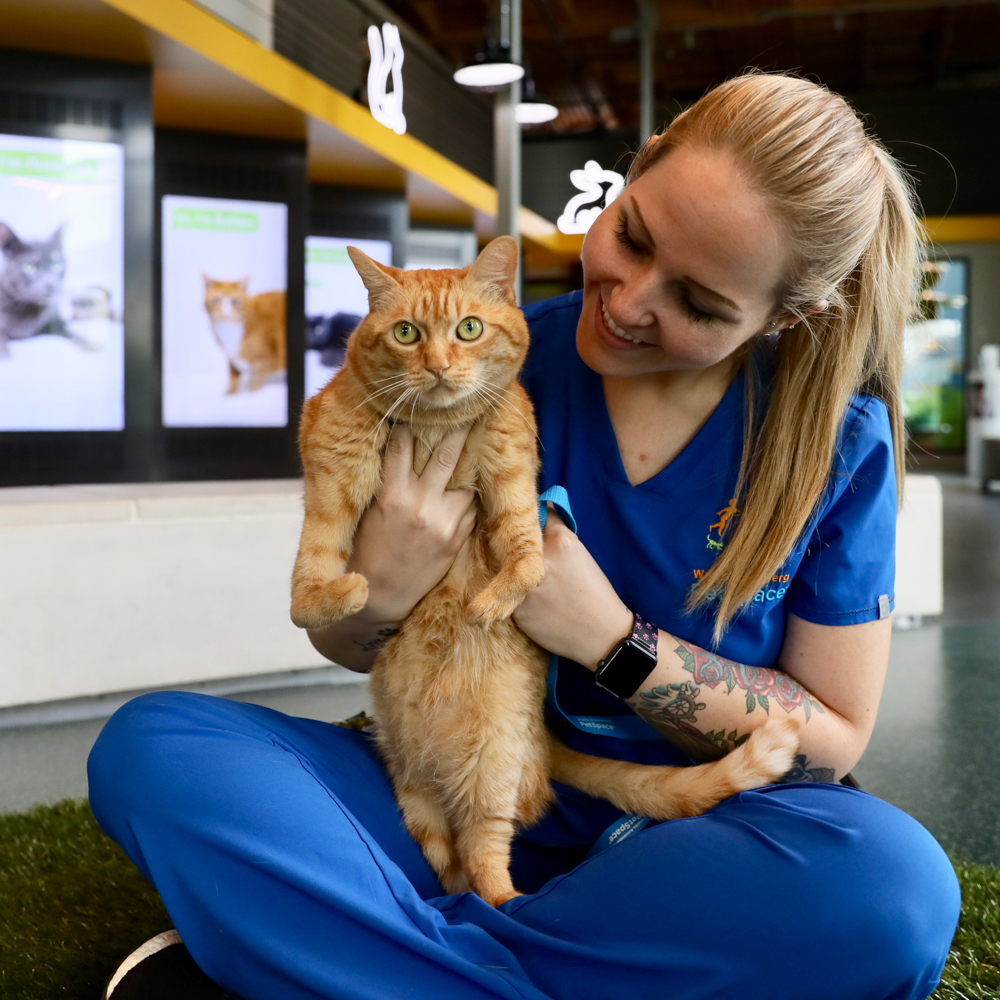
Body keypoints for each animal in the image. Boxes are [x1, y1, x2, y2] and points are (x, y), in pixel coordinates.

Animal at [290, 238, 796, 912]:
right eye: (406, 334)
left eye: (468, 329)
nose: (438, 367)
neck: (431, 428)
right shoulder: (330, 471)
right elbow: (309, 573)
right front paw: (342, 590)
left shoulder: (512, 477)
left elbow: (526, 558)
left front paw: (488, 604)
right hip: (414, 789)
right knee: (449, 859)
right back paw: (450, 905)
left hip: (492, 770)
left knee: (487, 857)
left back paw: (507, 907)